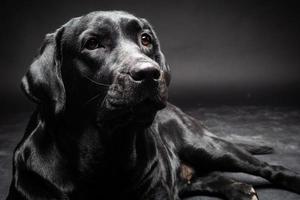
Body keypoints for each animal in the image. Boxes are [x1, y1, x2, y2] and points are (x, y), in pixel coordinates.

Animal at [6, 10, 300, 200]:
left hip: (207, 146)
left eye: (145, 39)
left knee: (268, 167)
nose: (148, 73)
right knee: (205, 177)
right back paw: (238, 189)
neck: (107, 154)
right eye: (92, 43)